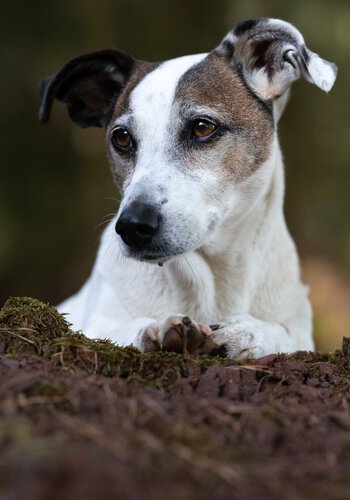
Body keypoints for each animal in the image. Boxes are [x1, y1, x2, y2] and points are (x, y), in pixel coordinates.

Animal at [39, 17, 336, 358]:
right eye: (122, 138)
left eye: (202, 127)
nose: (132, 226)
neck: (208, 281)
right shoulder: (94, 324)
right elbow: (113, 332)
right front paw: (154, 328)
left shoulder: (299, 326)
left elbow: (285, 333)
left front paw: (250, 331)